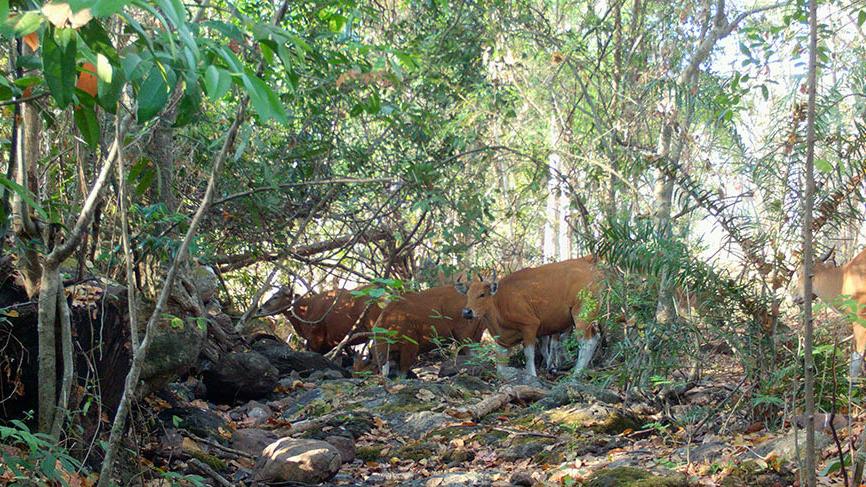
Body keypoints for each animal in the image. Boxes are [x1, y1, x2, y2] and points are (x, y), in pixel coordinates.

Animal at [452, 260, 600, 378]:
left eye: (482, 294)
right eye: (467, 295)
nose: (467, 312)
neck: (499, 304)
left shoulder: (530, 325)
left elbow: (529, 355)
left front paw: (532, 375)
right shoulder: (502, 340)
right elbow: (500, 366)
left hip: (581, 313)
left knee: (587, 341)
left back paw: (577, 373)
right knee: (595, 337)